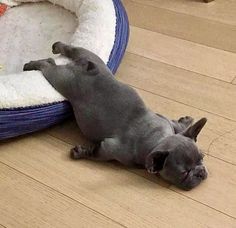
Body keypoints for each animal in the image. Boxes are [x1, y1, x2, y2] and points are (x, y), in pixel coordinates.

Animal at [24, 41, 207, 190]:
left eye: (202, 158)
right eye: (184, 174)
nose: (200, 172)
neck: (158, 139)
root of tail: (89, 69)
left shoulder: (163, 120)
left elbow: (175, 124)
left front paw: (185, 122)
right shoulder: (110, 149)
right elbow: (96, 154)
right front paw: (82, 152)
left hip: (92, 58)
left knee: (72, 50)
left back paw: (57, 47)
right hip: (63, 80)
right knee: (48, 66)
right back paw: (32, 64)